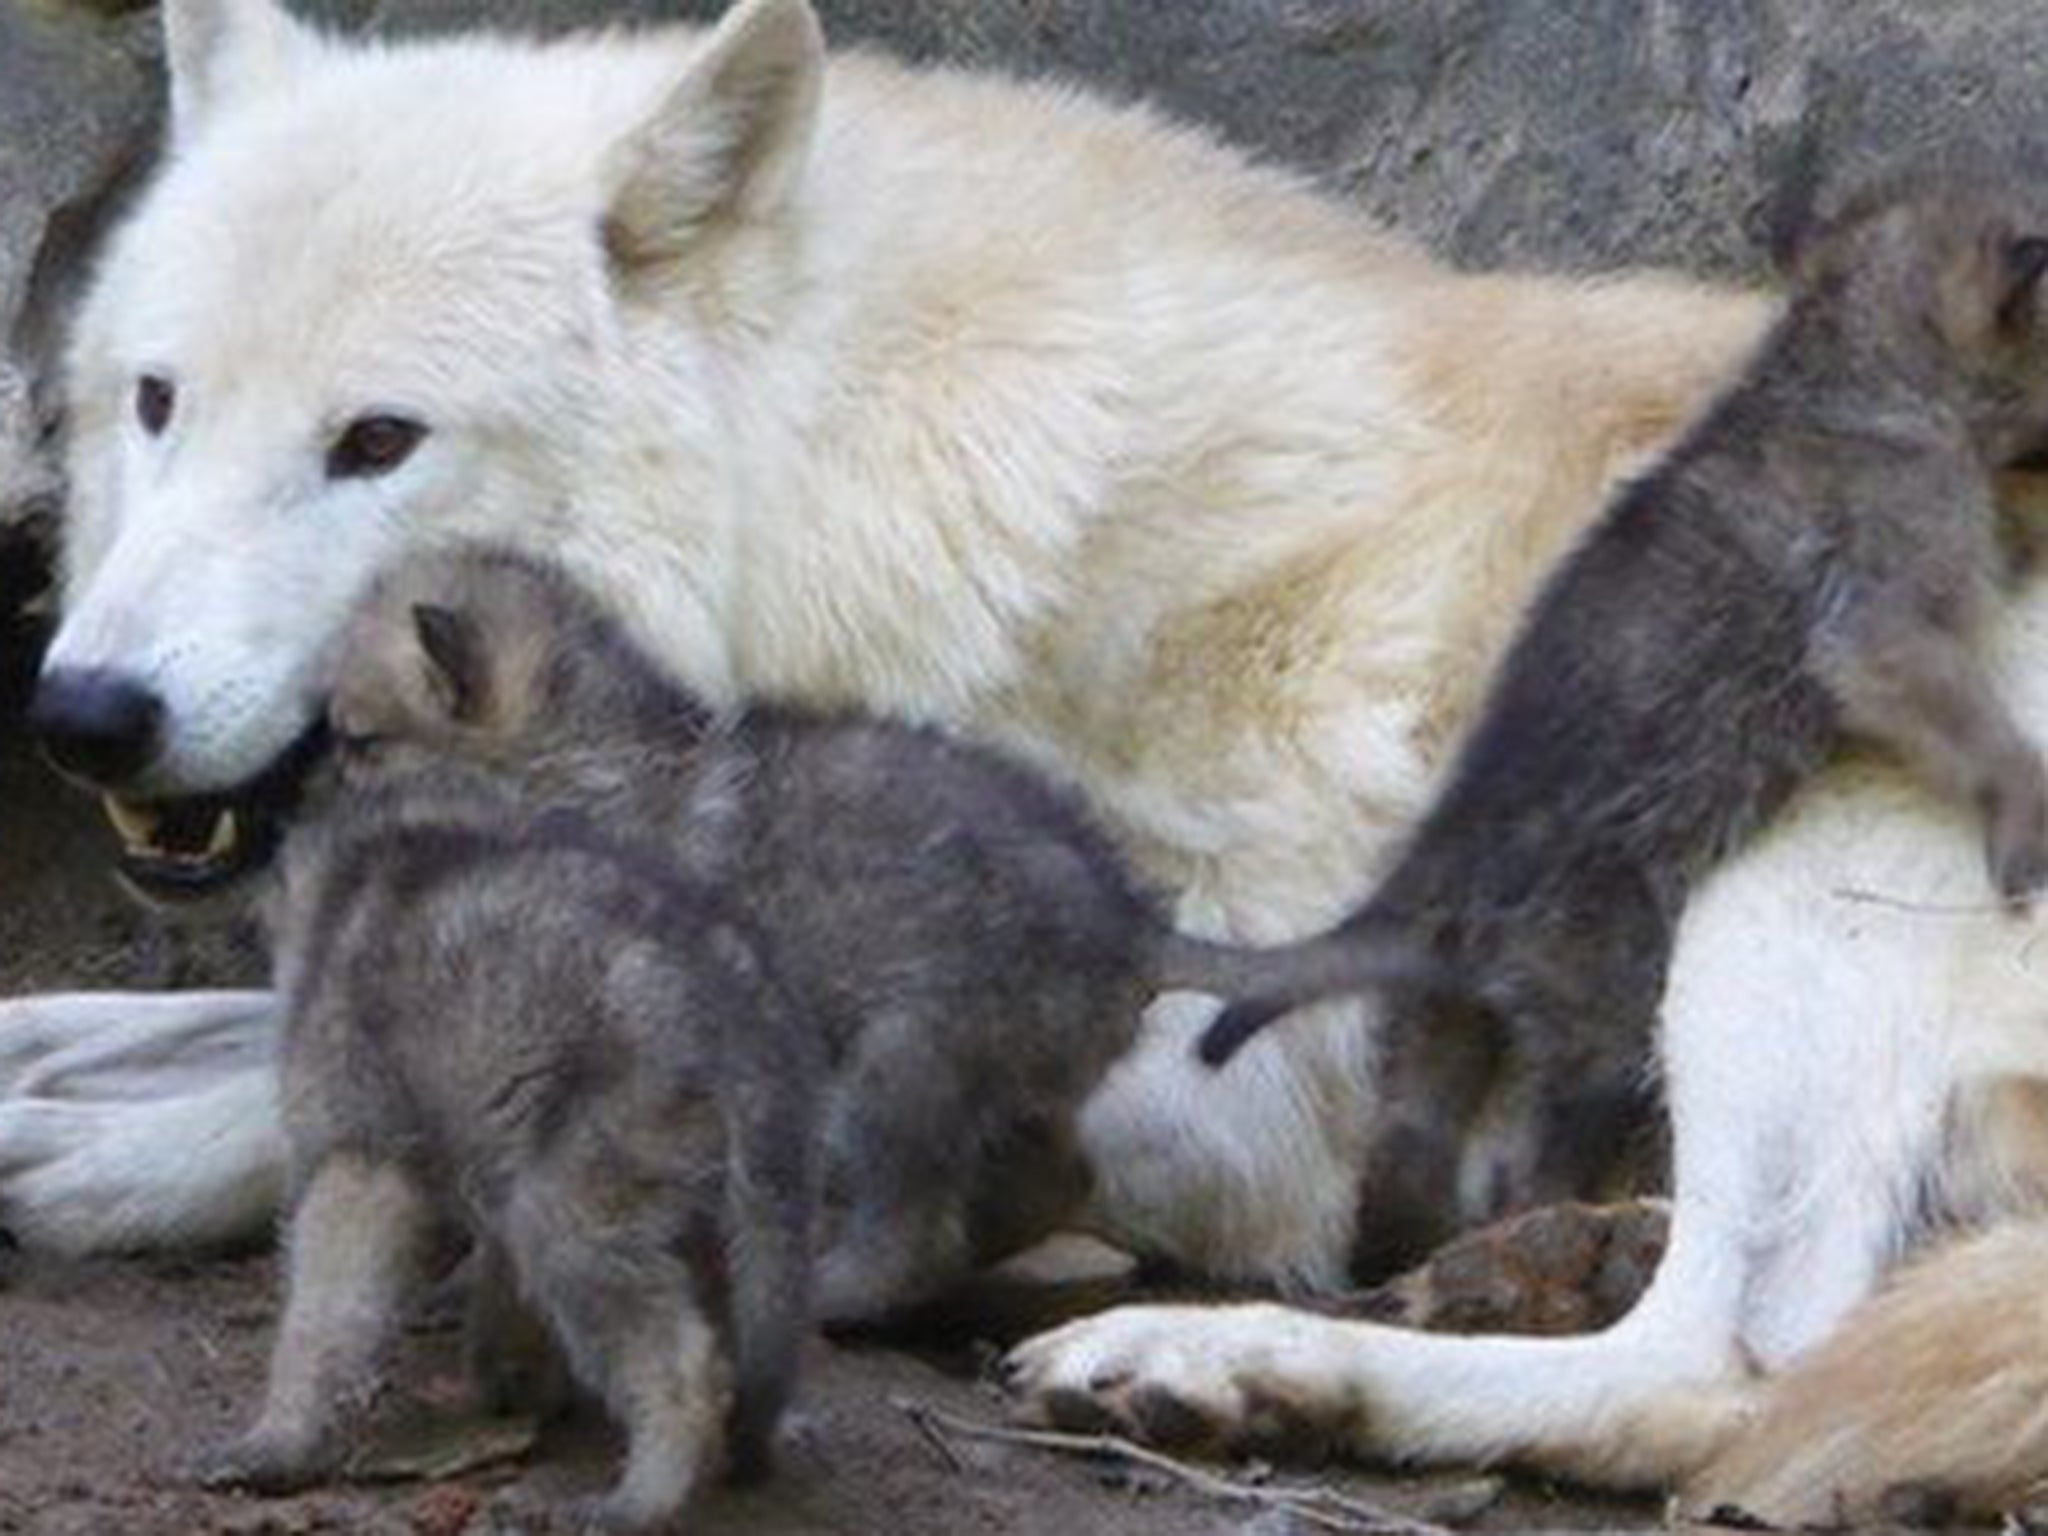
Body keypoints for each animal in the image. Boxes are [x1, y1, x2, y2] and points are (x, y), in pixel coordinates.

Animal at [8, 0, 2039, 1515]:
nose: (86, 710)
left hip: (1808, 866)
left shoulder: (1234, 1096)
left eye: (376, 442)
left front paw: (92, 1165)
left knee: (1723, 1375)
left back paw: (1215, 1362)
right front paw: (50, 1071)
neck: (867, 512)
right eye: (159, 400)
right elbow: (202, 1024)